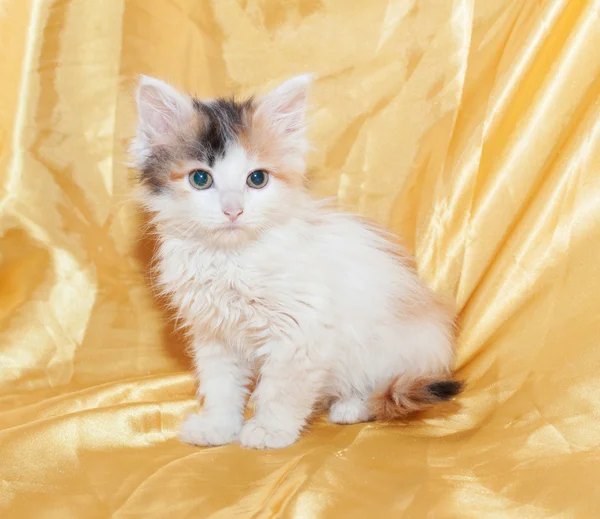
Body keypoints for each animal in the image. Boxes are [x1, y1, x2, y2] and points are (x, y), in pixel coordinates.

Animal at [131, 74, 462, 450]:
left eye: (257, 179)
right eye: (200, 179)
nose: (233, 211)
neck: (232, 259)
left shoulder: (300, 331)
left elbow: (280, 389)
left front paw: (269, 430)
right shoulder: (215, 334)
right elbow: (221, 386)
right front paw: (218, 427)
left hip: (392, 350)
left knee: (381, 389)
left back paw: (351, 406)